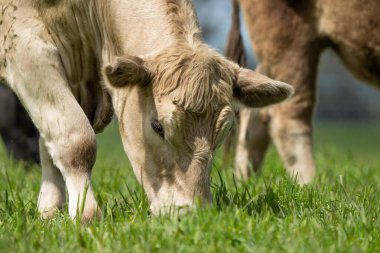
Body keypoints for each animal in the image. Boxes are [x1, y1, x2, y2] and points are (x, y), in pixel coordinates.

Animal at [0, 0, 294, 220]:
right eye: (158, 127)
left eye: (224, 132)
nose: (191, 213)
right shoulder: (27, 47)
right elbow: (77, 140)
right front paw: (85, 213)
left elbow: (49, 142)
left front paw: (49, 211)